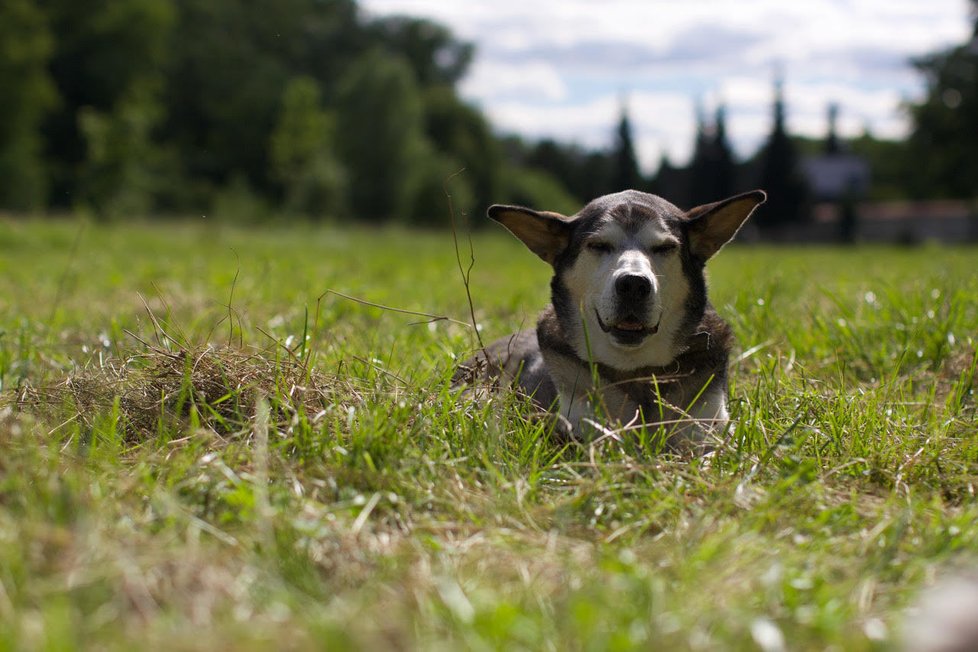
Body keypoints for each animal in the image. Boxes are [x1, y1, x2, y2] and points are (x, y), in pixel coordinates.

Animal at [454, 188, 768, 448]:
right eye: (599, 245)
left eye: (664, 248)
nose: (633, 284)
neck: (636, 371)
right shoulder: (579, 427)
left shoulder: (706, 427)